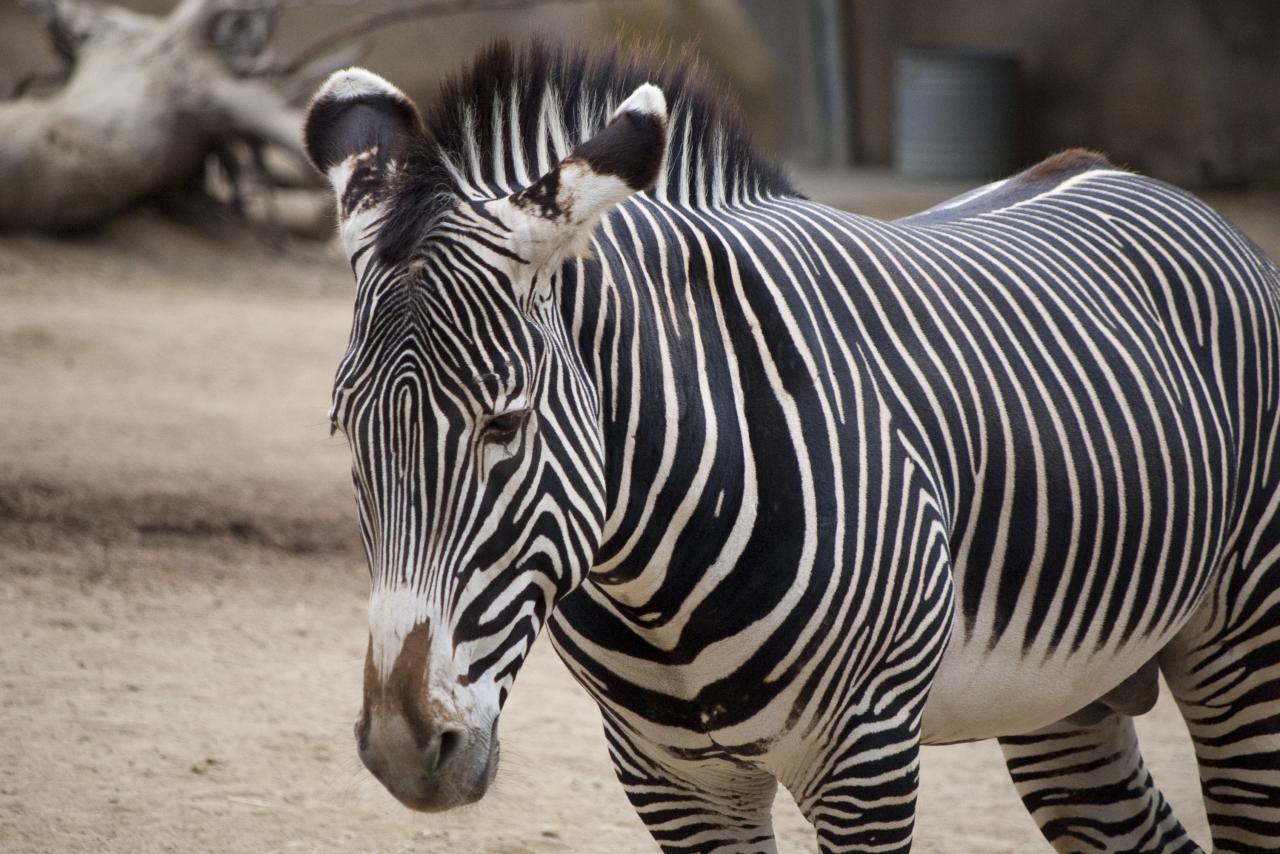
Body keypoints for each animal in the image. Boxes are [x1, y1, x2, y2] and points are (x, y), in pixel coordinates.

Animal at [303, 43, 1280, 853]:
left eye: (504, 424)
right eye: (345, 430)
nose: (403, 749)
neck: (652, 584)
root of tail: (1139, 181)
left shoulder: (866, 756)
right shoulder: (671, 780)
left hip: (1247, 651)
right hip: (1066, 697)